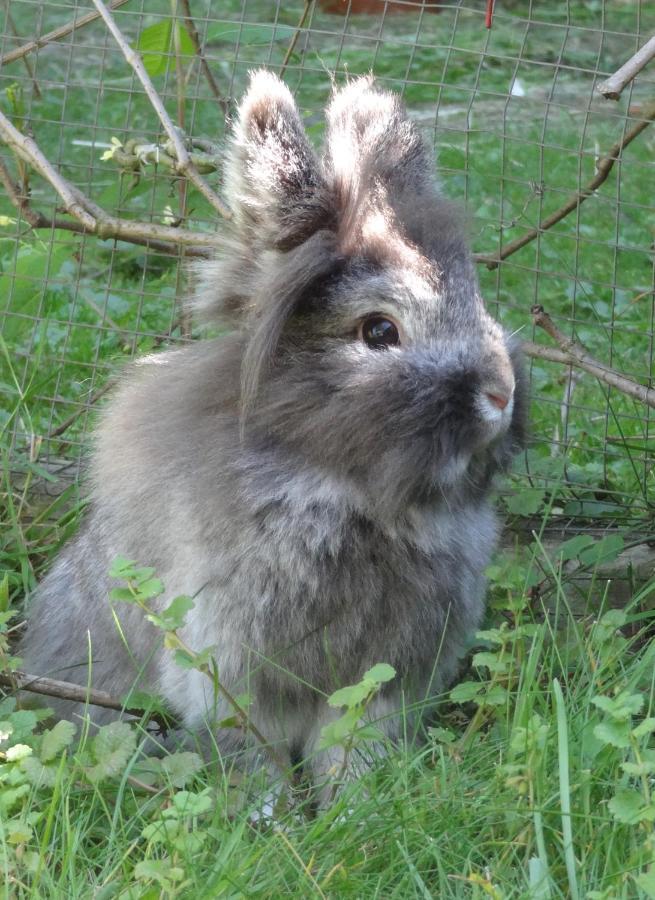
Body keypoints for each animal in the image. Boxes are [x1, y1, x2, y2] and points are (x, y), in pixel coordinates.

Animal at [21, 70, 528, 788]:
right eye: (379, 331)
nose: (500, 394)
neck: (347, 493)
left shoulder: (387, 678)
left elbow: (353, 745)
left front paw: (354, 804)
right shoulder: (229, 669)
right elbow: (252, 751)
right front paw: (275, 813)